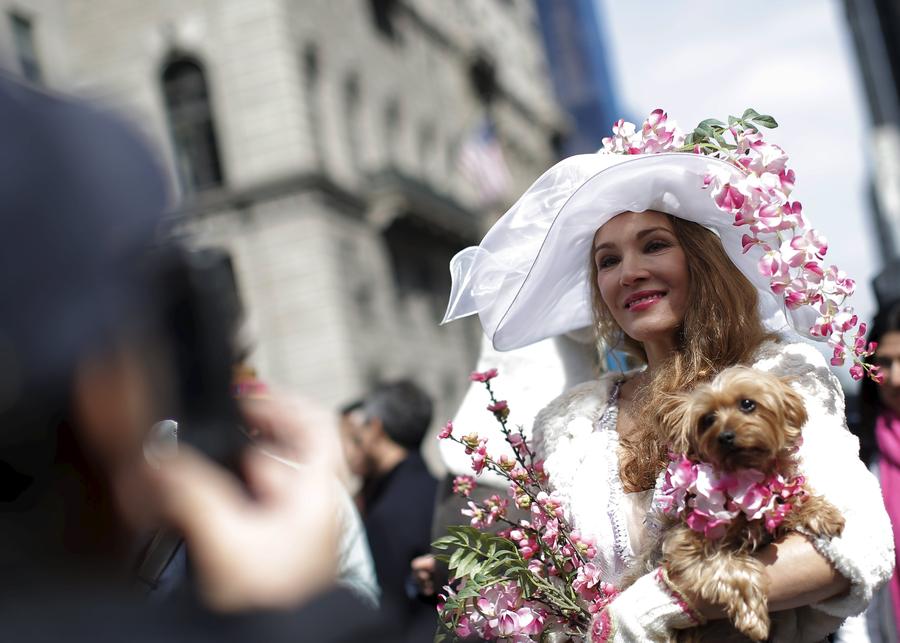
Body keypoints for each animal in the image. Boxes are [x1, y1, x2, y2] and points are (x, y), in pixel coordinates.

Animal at [648, 364, 844, 640]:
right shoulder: (685, 543)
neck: (744, 474)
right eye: (707, 419)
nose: (725, 436)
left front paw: (822, 514)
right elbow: (730, 567)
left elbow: (792, 497)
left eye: (747, 404)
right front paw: (754, 619)